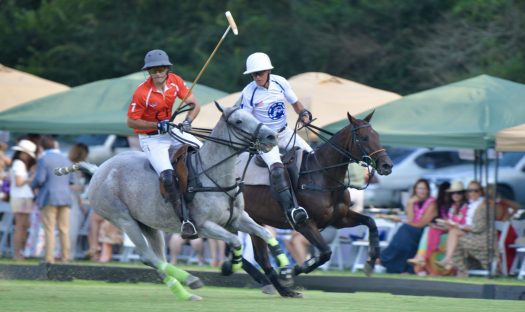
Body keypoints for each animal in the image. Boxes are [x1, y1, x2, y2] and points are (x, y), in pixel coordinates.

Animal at [55, 103, 300, 302]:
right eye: (239, 121)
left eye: (252, 115)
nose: (272, 137)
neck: (215, 175)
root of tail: (98, 169)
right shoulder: (204, 226)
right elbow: (235, 241)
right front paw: (231, 266)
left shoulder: (238, 218)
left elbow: (265, 233)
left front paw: (286, 271)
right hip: (122, 219)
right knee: (148, 256)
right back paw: (191, 280)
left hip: (148, 224)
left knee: (157, 257)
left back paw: (186, 293)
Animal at [239, 111, 390, 276]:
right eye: (363, 138)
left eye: (377, 136)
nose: (387, 165)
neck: (324, 176)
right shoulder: (304, 224)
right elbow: (325, 252)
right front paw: (294, 269)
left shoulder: (339, 219)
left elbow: (370, 221)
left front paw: (371, 261)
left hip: (254, 220)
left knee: (260, 257)